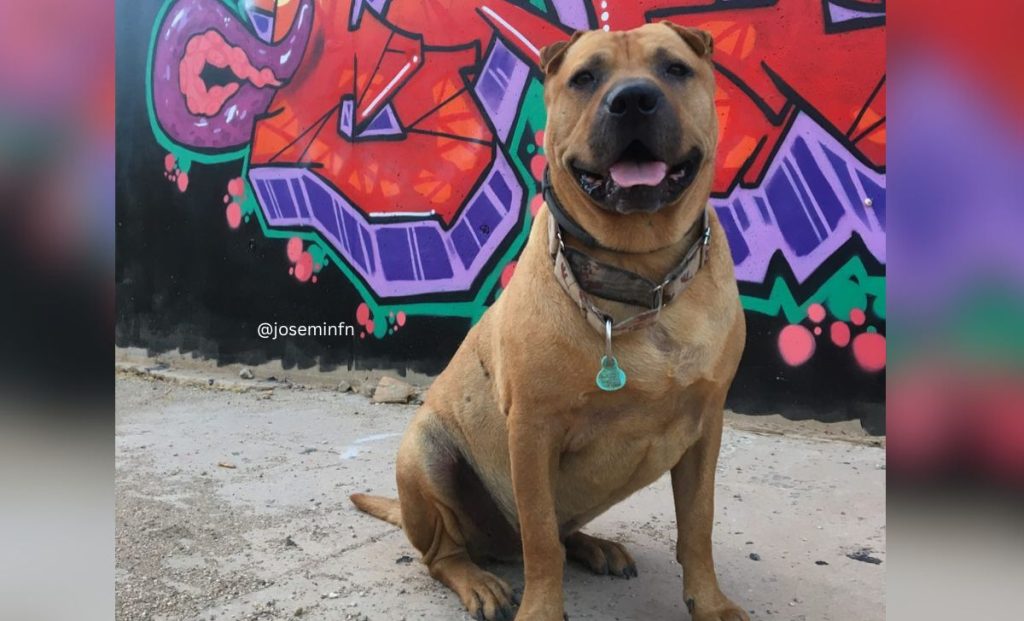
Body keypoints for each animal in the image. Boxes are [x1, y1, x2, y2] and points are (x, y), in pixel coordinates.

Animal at [356, 21, 749, 618]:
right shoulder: (532, 430)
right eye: (585, 77)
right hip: (423, 456)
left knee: (561, 531)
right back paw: (478, 581)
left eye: (674, 69)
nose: (633, 99)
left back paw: (594, 545)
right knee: (447, 554)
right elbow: (540, 539)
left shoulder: (706, 426)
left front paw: (709, 602)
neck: (642, 276)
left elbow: (698, 525)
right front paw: (541, 608)